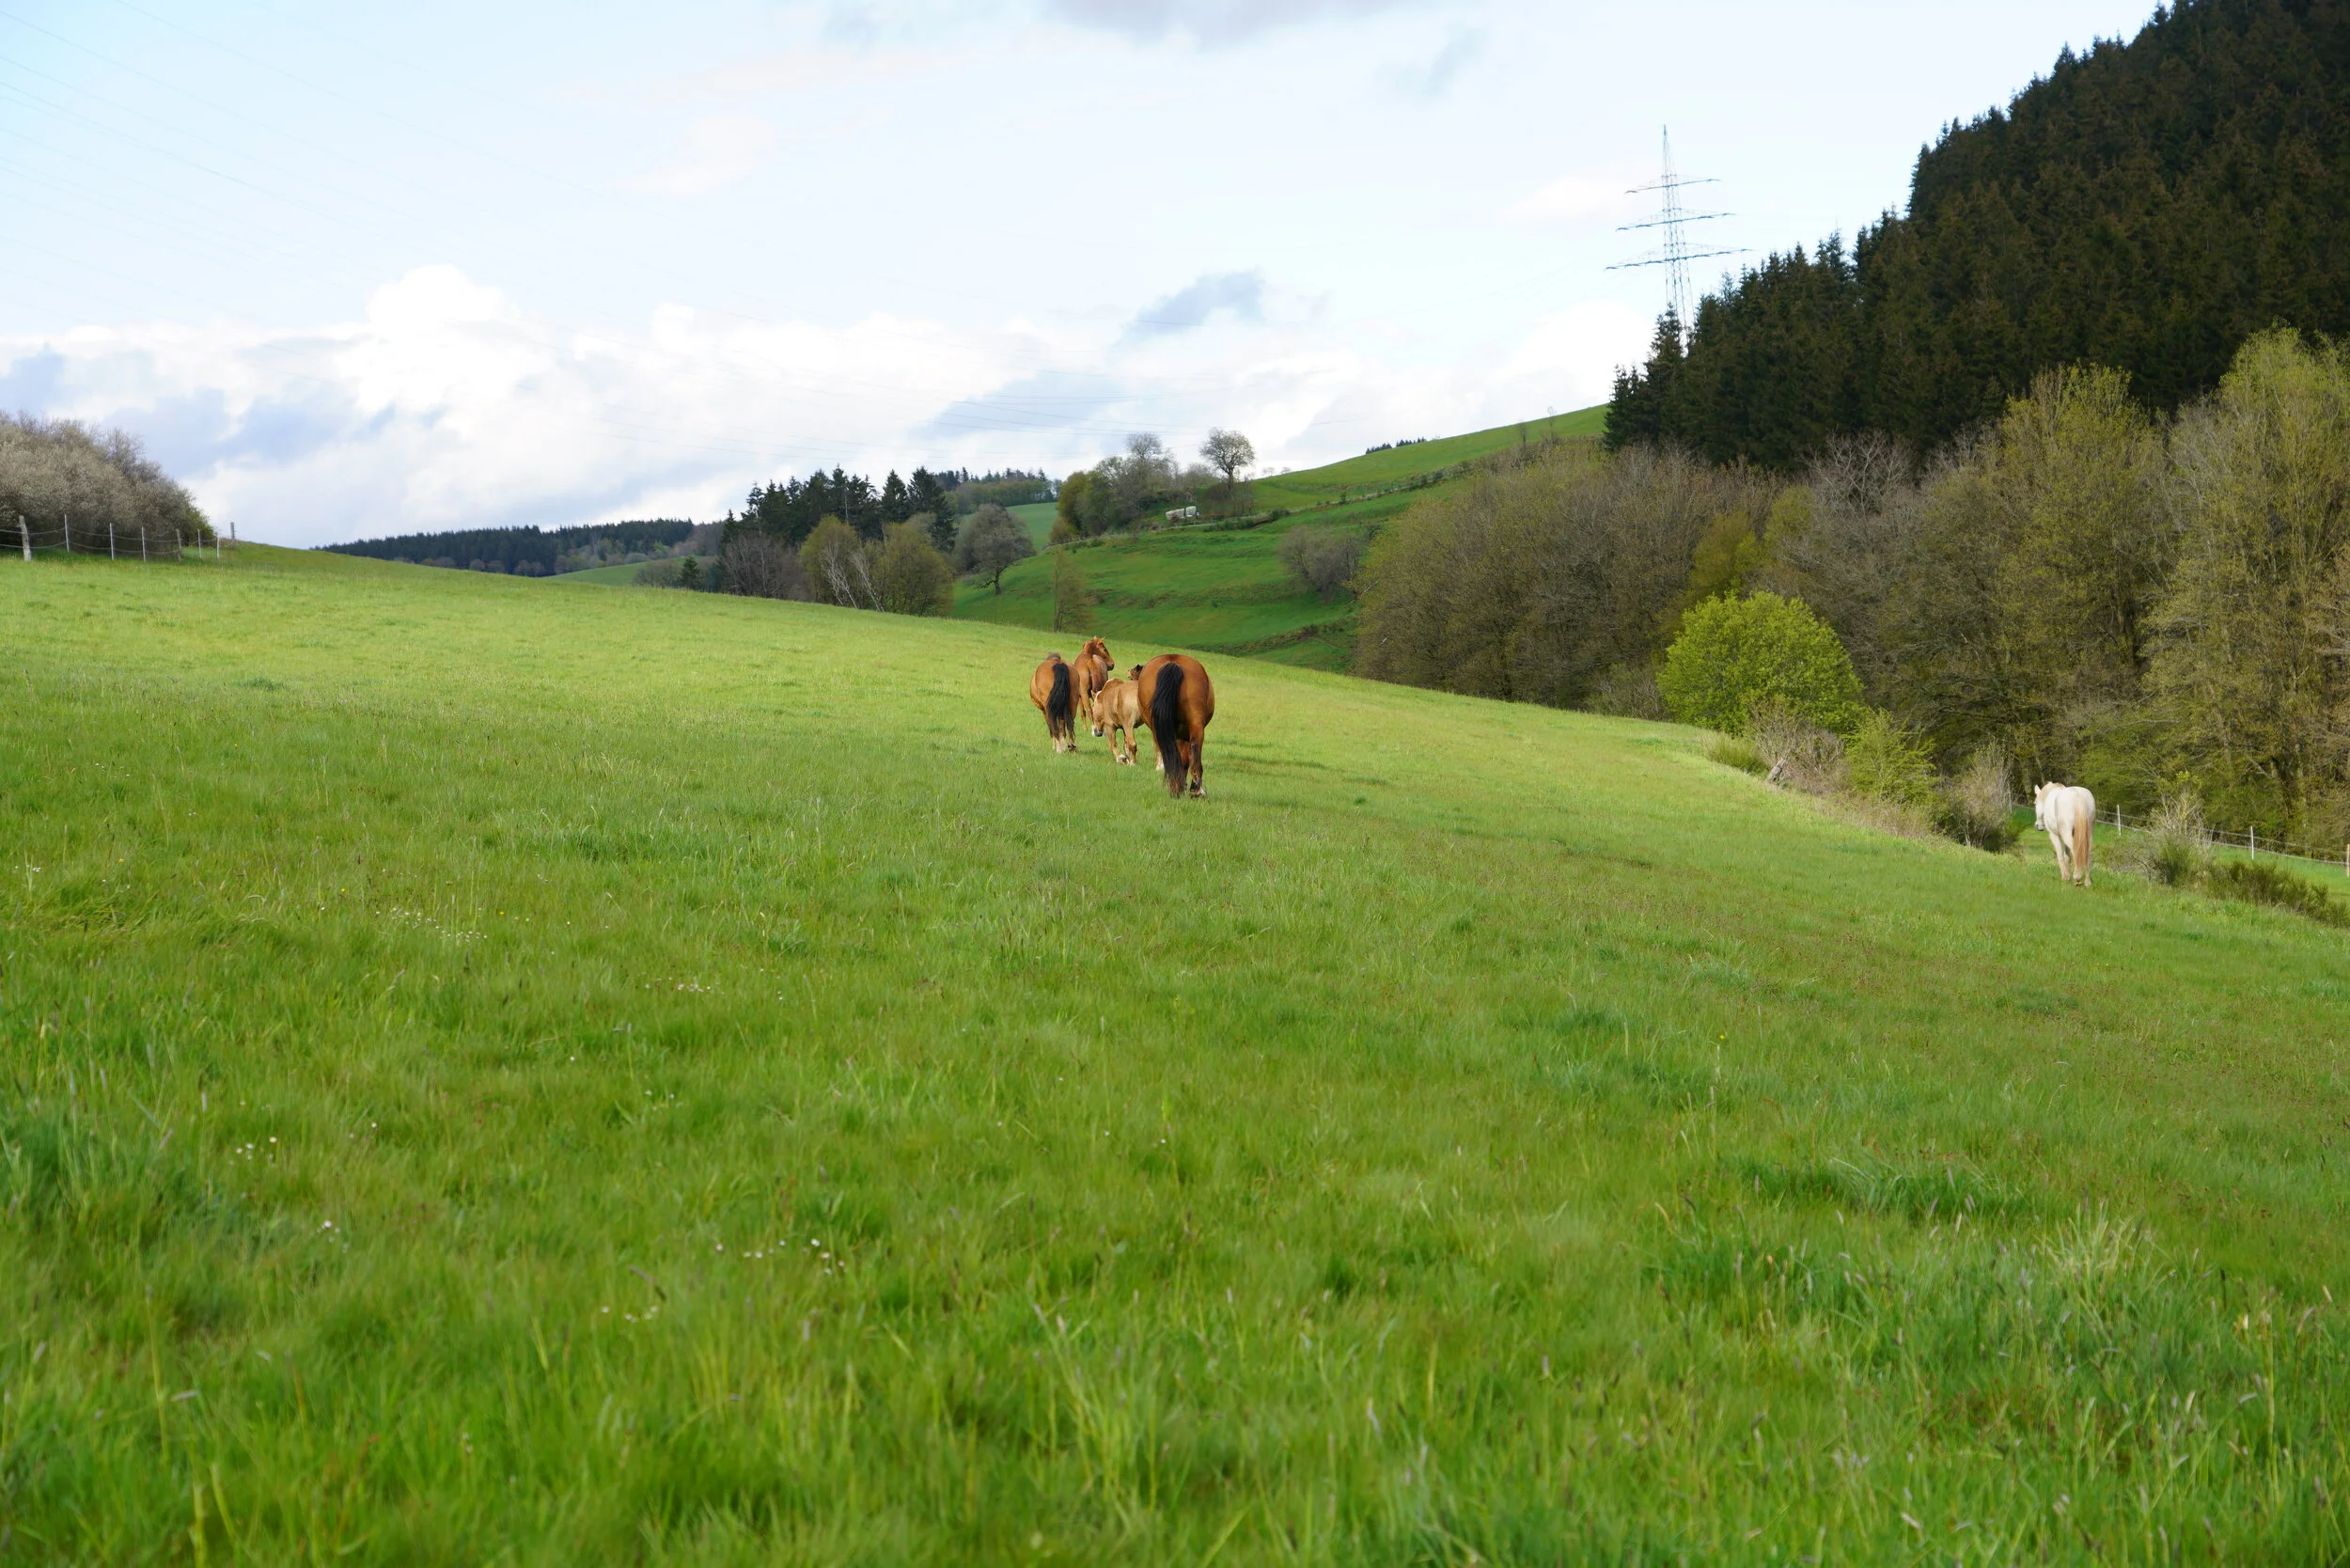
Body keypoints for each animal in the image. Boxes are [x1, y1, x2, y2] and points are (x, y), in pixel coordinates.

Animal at [1134, 653, 1215, 797]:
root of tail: (1173, 662)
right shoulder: (1183, 736)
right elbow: (1184, 759)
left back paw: (1178, 788)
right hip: (1195, 725)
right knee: (1194, 748)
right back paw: (1195, 790)